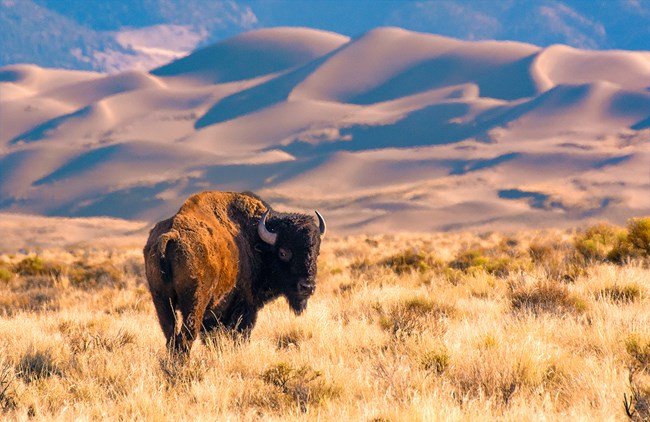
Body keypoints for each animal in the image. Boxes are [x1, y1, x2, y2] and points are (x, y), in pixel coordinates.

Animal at [142, 192, 324, 356]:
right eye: (283, 252)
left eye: (317, 253)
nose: (307, 287)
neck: (256, 242)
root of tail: (171, 235)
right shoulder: (245, 308)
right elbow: (239, 336)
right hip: (194, 304)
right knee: (185, 338)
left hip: (162, 301)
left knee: (171, 337)